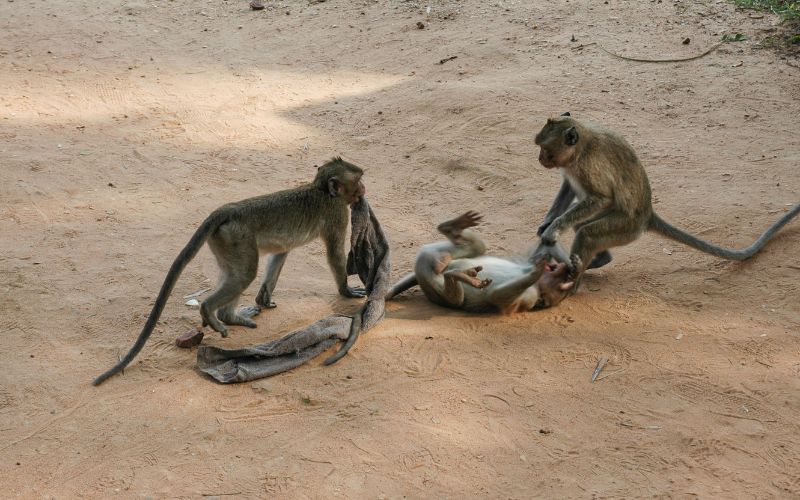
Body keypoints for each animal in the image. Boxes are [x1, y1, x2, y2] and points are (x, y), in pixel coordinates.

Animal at [94, 158, 366, 384]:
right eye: (359, 180)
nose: (364, 190)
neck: (321, 190)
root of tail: (229, 209)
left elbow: (280, 254)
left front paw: (264, 298)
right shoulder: (337, 214)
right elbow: (335, 254)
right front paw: (347, 290)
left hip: (224, 241)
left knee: (235, 274)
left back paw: (229, 316)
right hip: (236, 237)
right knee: (244, 274)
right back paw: (212, 311)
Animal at [382, 213, 576, 314]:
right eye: (563, 281)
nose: (565, 269)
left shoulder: (530, 298)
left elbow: (497, 298)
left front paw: (536, 272)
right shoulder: (525, 261)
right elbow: (541, 249)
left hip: (436, 290)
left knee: (454, 295)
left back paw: (459, 275)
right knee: (478, 247)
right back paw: (453, 230)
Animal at [532, 111, 800, 288]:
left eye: (545, 150)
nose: (540, 159)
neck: (581, 145)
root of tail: (647, 214)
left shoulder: (588, 167)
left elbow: (601, 197)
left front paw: (554, 229)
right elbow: (568, 186)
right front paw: (548, 223)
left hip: (626, 227)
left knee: (588, 232)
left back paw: (579, 271)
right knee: (582, 224)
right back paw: (596, 260)